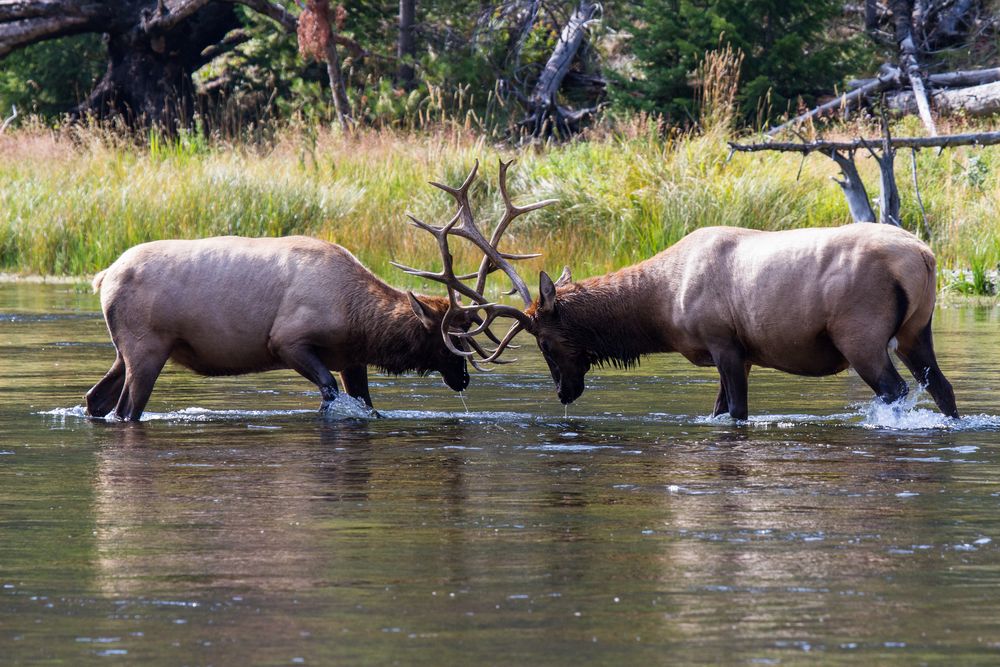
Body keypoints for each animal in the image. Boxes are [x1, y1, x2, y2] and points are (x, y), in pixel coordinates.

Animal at [87, 237, 476, 420]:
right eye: (451, 341)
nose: (463, 379)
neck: (359, 322)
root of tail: (104, 276)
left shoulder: (352, 359)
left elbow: (367, 405)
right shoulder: (287, 340)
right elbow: (330, 390)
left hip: (126, 350)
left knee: (96, 398)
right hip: (147, 346)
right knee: (126, 409)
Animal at [408, 159, 960, 420]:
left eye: (544, 342)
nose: (564, 392)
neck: (661, 309)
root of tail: (925, 256)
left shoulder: (724, 342)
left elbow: (735, 411)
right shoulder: (738, 352)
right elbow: (716, 410)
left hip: (859, 334)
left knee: (897, 390)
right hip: (918, 330)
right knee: (943, 388)